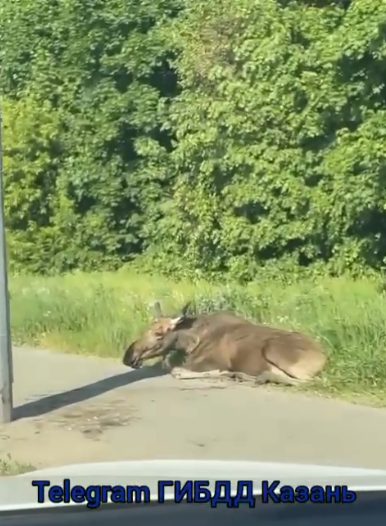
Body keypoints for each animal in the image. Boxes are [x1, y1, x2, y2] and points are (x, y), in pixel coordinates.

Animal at [123, 302, 326, 388]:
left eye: (158, 333)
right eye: (146, 328)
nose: (128, 356)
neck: (189, 343)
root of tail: (324, 357)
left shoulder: (212, 362)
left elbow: (176, 371)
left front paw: (224, 373)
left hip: (275, 351)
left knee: (309, 381)